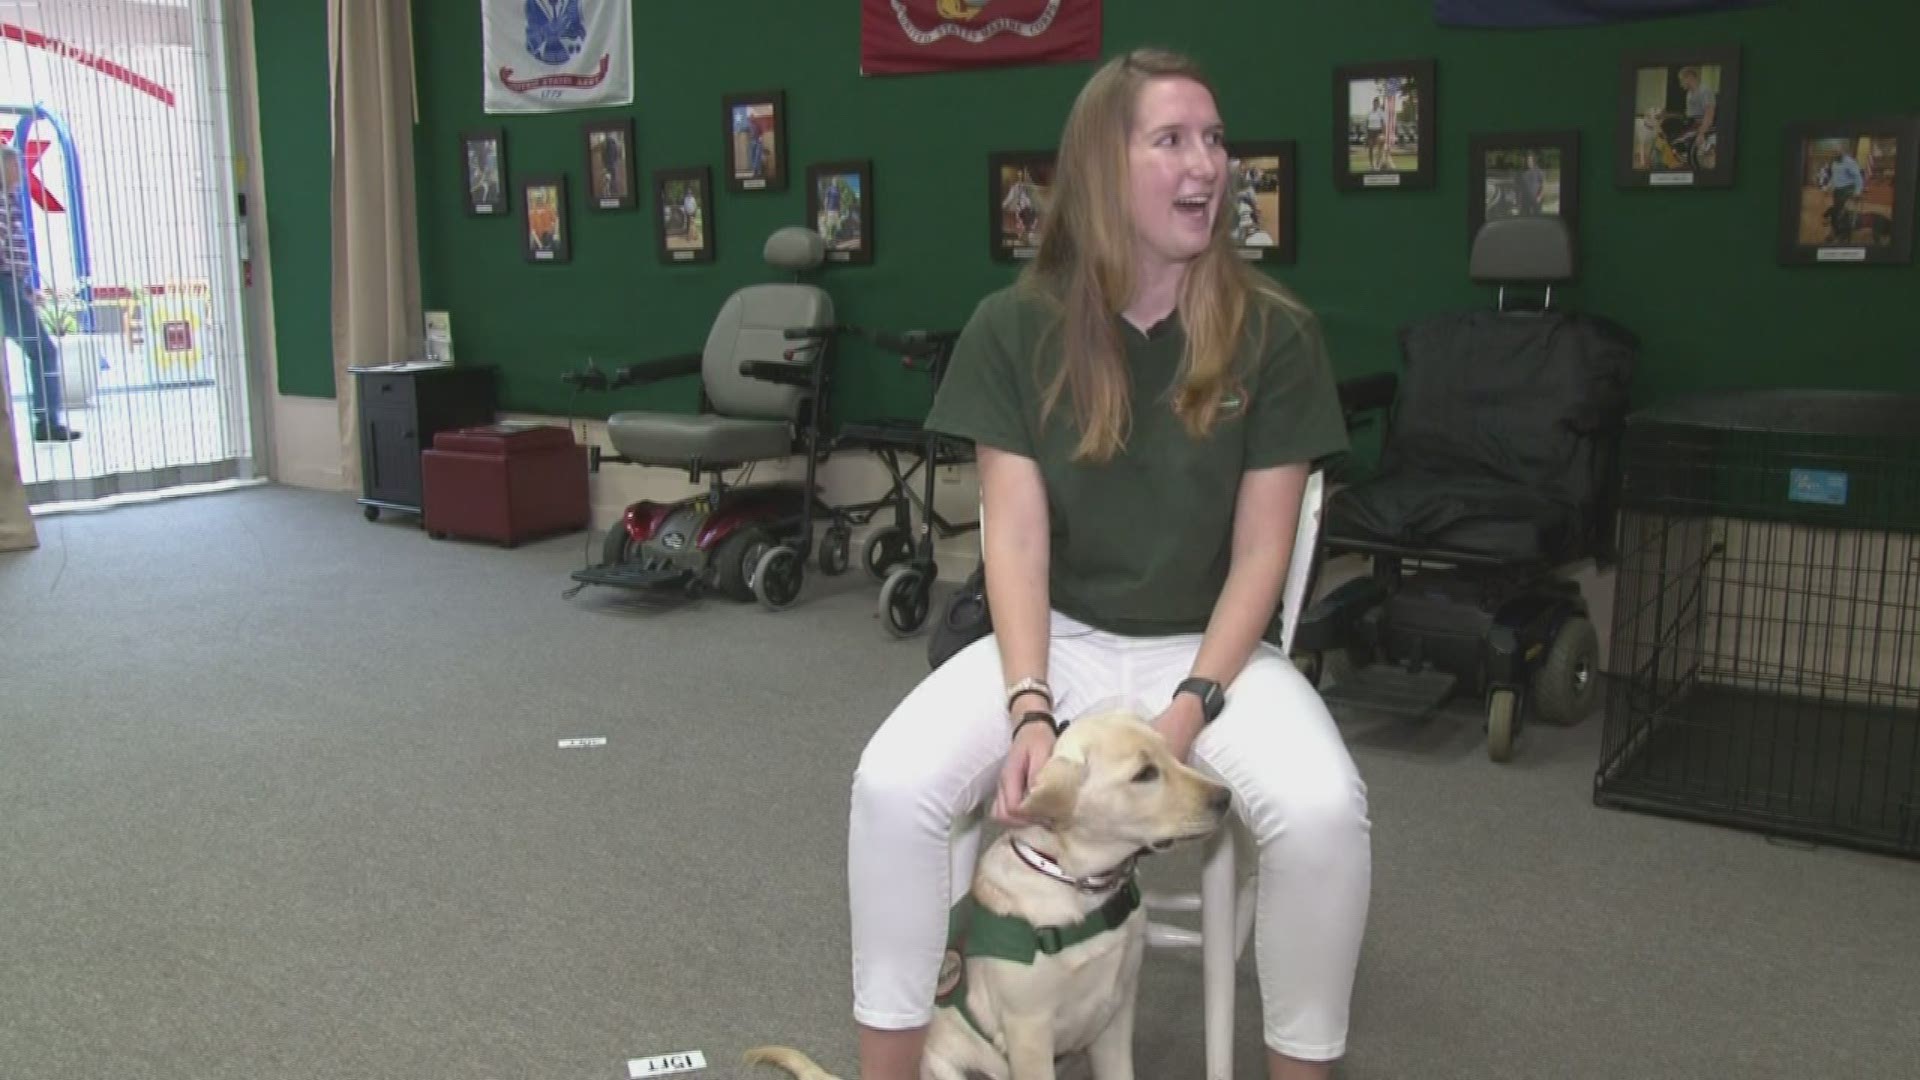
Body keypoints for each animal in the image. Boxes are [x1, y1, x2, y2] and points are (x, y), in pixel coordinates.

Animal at [744, 703, 1228, 1076]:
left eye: (1171, 754)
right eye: (1144, 774)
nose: (1224, 798)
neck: (1079, 885)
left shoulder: (1116, 1013)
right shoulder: (1029, 1031)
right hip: (946, 1065)